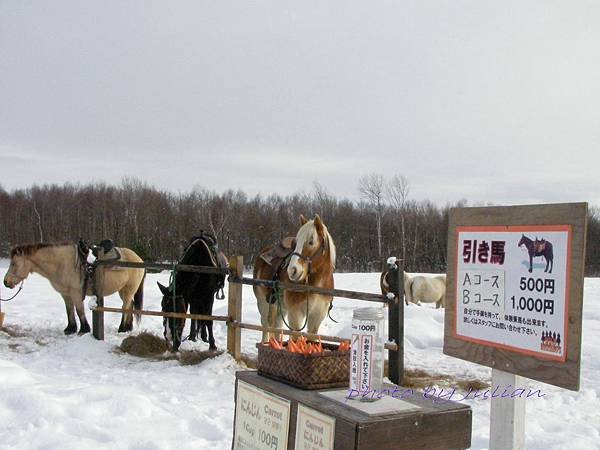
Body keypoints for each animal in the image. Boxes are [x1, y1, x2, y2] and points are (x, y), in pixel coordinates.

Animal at [3, 243, 145, 334]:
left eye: (14, 263)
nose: (5, 282)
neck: (62, 263)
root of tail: (139, 259)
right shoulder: (65, 294)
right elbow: (69, 310)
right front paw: (70, 329)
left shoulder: (76, 293)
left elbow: (79, 310)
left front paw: (84, 329)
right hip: (123, 290)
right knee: (130, 305)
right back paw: (127, 328)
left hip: (129, 290)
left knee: (125, 307)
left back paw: (122, 328)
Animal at [253, 214, 338, 342]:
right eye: (295, 243)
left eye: (311, 242)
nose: (292, 270)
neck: (316, 285)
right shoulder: (295, 314)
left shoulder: (316, 317)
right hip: (263, 303)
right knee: (266, 325)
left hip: (281, 308)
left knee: (277, 325)